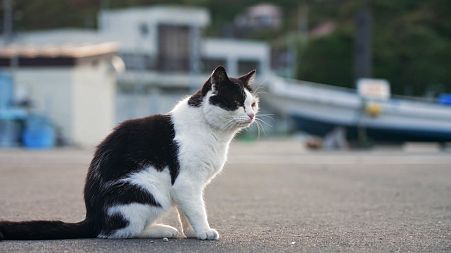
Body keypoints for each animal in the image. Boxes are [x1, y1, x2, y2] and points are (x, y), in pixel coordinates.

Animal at [0, 65, 260, 241]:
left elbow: (186, 211)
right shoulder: (186, 183)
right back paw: (162, 230)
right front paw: (204, 231)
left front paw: (192, 232)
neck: (214, 132)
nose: (251, 115)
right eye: (236, 102)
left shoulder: (188, 188)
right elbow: (197, 209)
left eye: (253, 103)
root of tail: (92, 218)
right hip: (150, 190)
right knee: (121, 231)